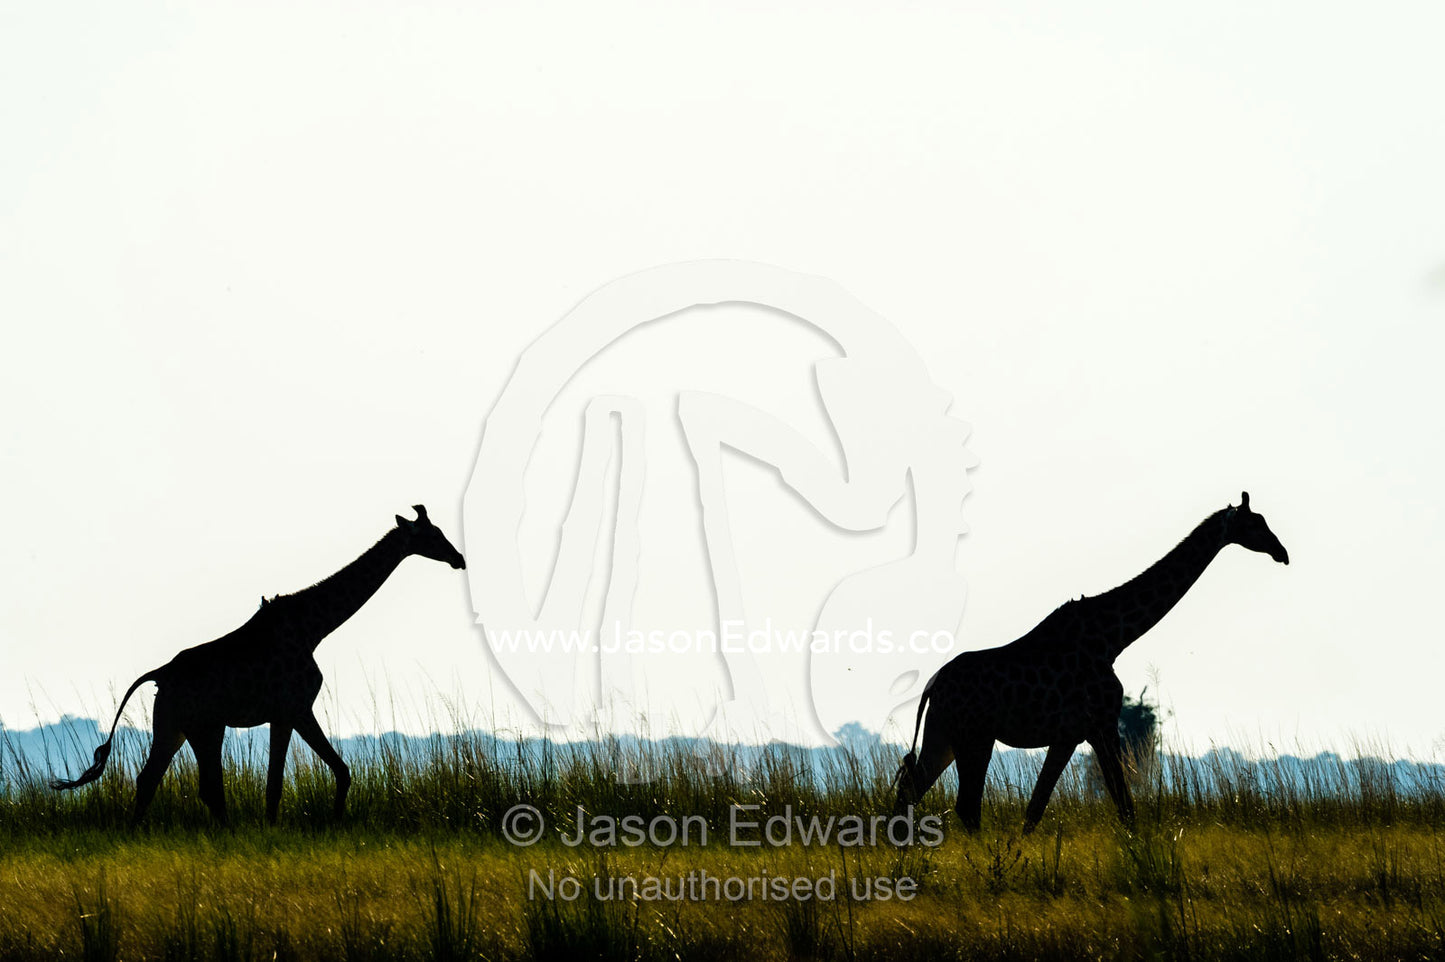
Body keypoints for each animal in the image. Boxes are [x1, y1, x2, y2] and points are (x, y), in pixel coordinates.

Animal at [50, 505, 465, 825]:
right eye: (433, 535)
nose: (459, 558)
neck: (314, 628)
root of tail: (159, 675)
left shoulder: (290, 712)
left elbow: (322, 774)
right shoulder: (292, 708)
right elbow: (291, 780)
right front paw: (293, 830)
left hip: (172, 723)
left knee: (149, 778)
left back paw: (138, 833)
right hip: (205, 726)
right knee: (206, 786)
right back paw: (226, 834)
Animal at [893, 492, 1288, 833]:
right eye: (1254, 523)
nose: (1281, 552)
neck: (1113, 638)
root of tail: (932, 685)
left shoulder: (1076, 733)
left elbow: (1042, 808)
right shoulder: (1099, 724)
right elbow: (1118, 804)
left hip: (944, 733)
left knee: (913, 785)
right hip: (974, 736)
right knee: (963, 805)